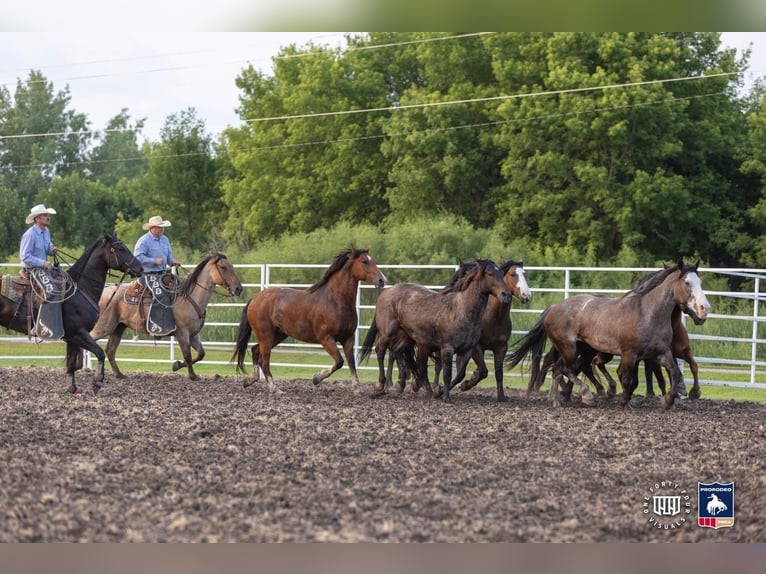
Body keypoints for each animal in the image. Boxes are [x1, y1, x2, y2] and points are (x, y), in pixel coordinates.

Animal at [0, 234, 142, 396]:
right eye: (121, 248)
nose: (140, 268)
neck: (80, 290)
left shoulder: (71, 338)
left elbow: (71, 363)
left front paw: (72, 388)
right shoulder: (79, 333)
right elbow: (99, 353)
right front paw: (97, 382)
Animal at [91, 253, 244, 382]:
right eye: (223, 267)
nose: (239, 289)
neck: (189, 298)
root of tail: (105, 291)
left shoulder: (194, 334)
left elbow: (201, 354)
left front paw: (176, 365)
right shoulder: (182, 333)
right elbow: (187, 354)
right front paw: (192, 376)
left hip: (118, 327)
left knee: (110, 350)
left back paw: (119, 374)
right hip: (103, 327)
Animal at [231, 248, 388, 396]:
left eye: (372, 260)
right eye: (364, 261)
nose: (382, 280)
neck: (335, 301)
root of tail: (255, 299)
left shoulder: (348, 338)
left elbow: (351, 362)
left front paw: (357, 388)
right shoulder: (326, 339)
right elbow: (339, 361)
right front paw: (316, 378)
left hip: (278, 335)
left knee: (255, 351)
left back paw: (249, 380)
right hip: (266, 335)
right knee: (264, 361)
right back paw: (274, 388)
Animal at [504, 260, 712, 410]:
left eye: (700, 282)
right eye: (687, 282)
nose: (705, 309)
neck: (647, 313)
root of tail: (554, 308)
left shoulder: (660, 353)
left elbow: (675, 372)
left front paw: (669, 400)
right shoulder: (630, 354)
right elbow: (627, 379)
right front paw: (625, 403)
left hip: (578, 348)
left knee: (558, 369)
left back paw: (556, 400)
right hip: (569, 348)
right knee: (566, 369)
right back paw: (586, 395)